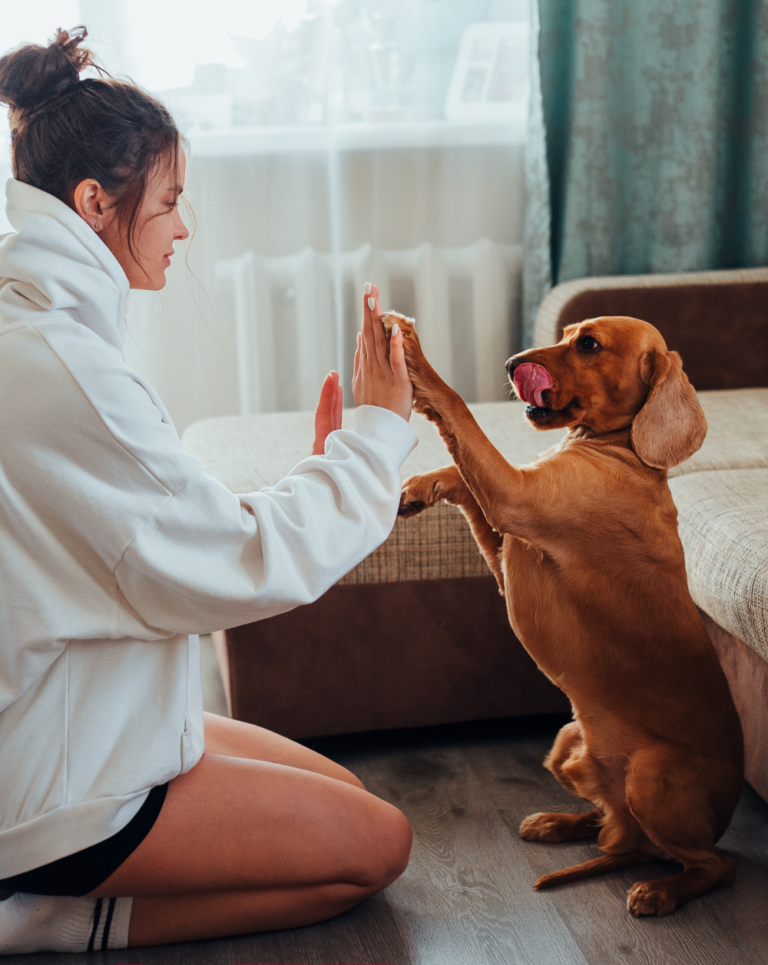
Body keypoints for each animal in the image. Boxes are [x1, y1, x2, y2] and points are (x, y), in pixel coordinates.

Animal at [388, 312, 748, 916]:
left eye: (589, 345)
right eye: (566, 332)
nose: (512, 364)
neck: (622, 451)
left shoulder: (513, 497)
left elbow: (458, 410)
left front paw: (414, 358)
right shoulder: (506, 540)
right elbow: (463, 475)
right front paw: (419, 487)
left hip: (650, 775)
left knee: (712, 866)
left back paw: (660, 892)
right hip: (566, 742)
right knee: (614, 827)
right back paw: (560, 823)